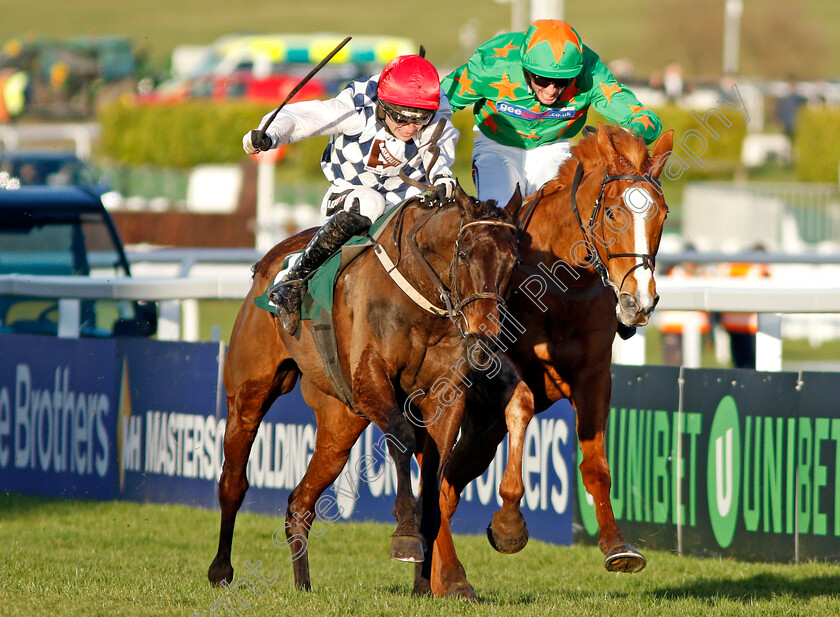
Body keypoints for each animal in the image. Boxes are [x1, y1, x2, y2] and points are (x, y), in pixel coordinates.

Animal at [207, 185, 520, 588]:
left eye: (513, 261)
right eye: (464, 254)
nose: (487, 334)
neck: (420, 297)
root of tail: (266, 265)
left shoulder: (445, 396)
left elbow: (436, 473)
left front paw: (424, 583)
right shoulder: (371, 379)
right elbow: (401, 436)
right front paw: (406, 535)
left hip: (341, 423)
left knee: (300, 503)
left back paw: (303, 584)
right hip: (249, 392)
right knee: (233, 481)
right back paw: (221, 569)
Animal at [414, 122, 676, 596]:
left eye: (663, 215)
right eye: (614, 214)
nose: (640, 303)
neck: (564, 288)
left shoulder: (594, 375)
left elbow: (596, 463)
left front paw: (617, 545)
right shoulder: (496, 361)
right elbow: (521, 404)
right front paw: (508, 524)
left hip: (483, 426)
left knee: (447, 486)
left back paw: (441, 578)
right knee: (434, 473)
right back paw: (450, 575)